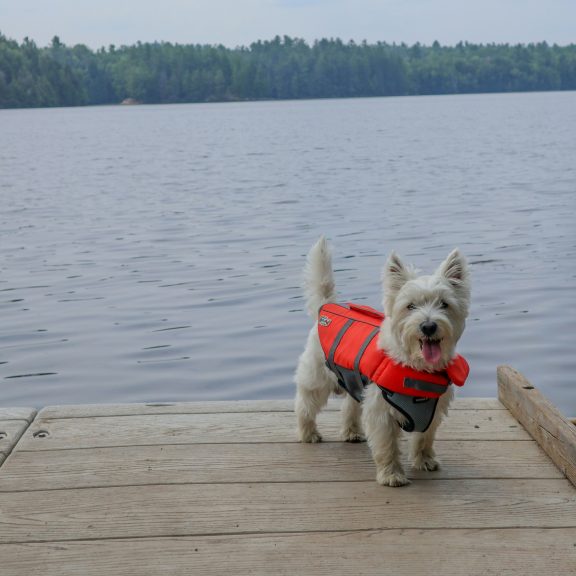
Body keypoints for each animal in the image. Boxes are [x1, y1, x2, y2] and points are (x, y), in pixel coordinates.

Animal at [294, 237, 470, 486]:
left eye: (444, 304)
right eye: (410, 306)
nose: (428, 326)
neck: (416, 367)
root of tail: (326, 306)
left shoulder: (432, 411)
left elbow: (424, 438)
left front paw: (425, 461)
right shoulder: (381, 411)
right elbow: (387, 446)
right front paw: (391, 475)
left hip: (355, 382)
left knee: (350, 407)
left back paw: (351, 432)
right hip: (317, 376)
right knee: (305, 404)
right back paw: (308, 433)